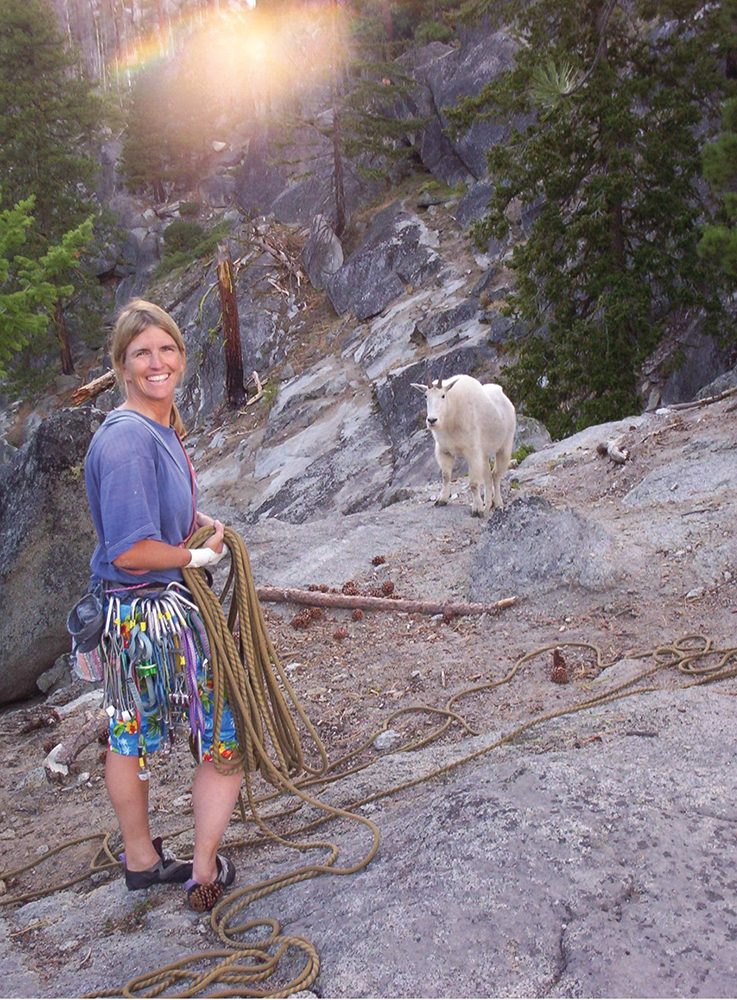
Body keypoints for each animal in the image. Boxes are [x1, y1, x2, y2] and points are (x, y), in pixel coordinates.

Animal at [408, 374, 516, 516]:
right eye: (425, 396)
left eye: (443, 395)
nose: (432, 420)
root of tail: (506, 398)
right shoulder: (444, 451)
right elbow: (445, 476)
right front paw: (441, 500)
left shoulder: (472, 452)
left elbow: (473, 483)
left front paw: (476, 508)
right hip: (484, 454)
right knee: (488, 476)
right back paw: (488, 505)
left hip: (504, 447)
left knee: (496, 474)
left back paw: (497, 503)